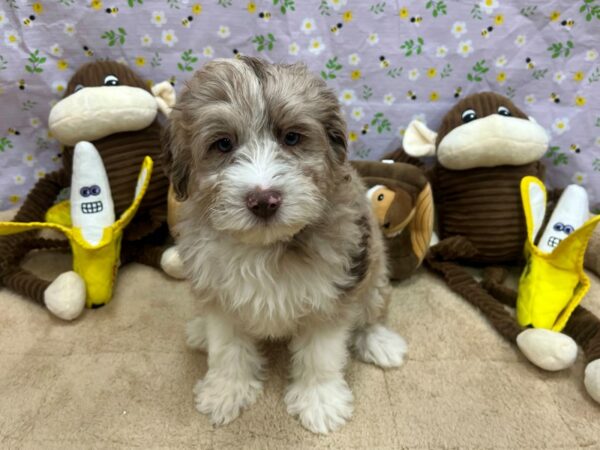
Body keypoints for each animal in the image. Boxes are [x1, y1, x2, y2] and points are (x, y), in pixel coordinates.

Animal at [164, 56, 408, 432]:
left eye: (291, 137)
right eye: (223, 144)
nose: (264, 200)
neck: (265, 247)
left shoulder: (331, 293)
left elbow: (321, 354)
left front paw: (320, 400)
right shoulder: (219, 293)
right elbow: (227, 347)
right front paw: (226, 390)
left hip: (374, 270)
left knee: (371, 309)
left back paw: (379, 341)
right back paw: (200, 331)